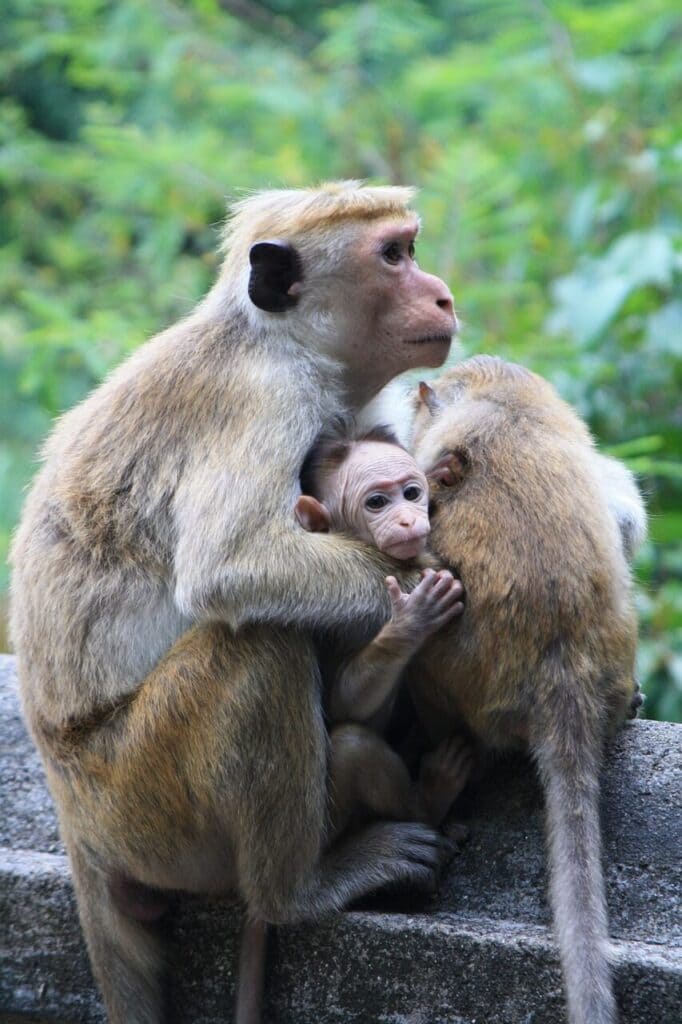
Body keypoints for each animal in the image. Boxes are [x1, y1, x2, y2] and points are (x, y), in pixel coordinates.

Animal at [294, 428, 471, 835]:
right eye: (377, 502)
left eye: (412, 493)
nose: (408, 520)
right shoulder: (328, 612)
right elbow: (340, 703)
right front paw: (410, 623)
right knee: (352, 745)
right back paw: (427, 803)